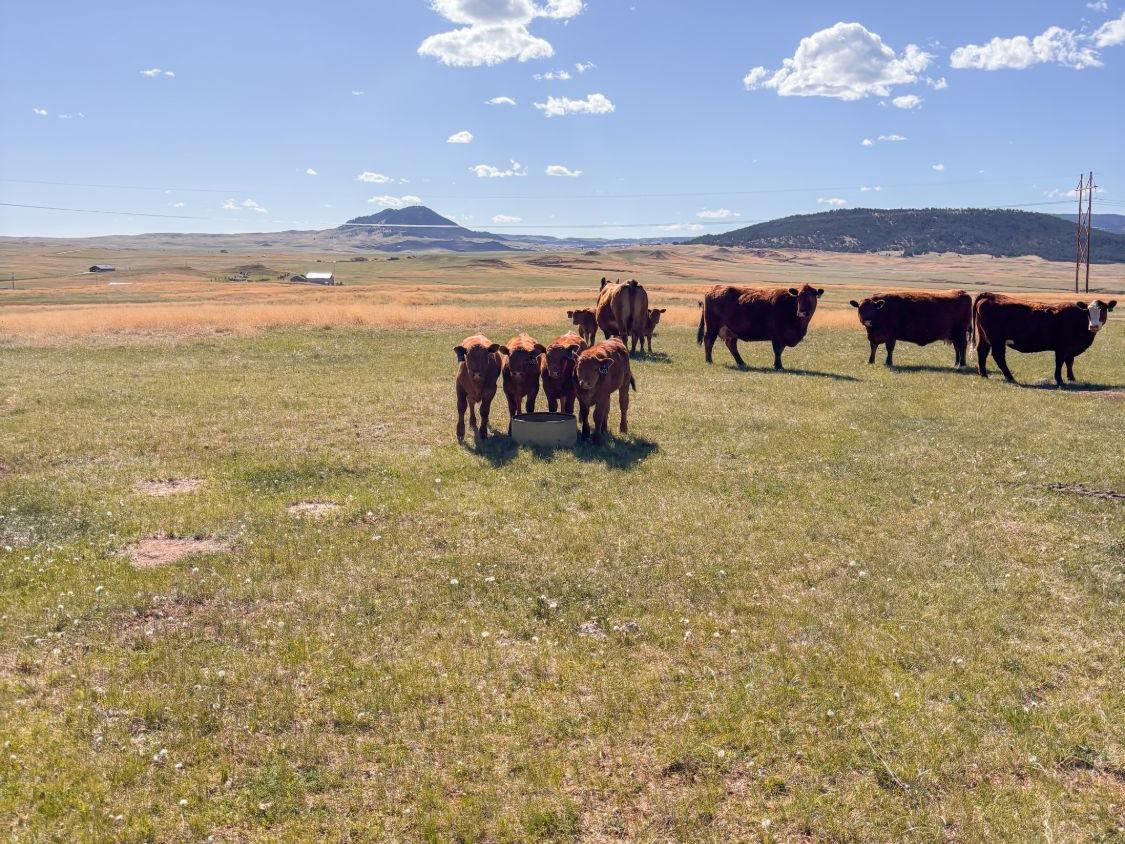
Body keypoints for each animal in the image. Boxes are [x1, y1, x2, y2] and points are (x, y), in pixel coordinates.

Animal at [973, 292, 1116, 386]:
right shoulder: (1061, 348)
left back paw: (984, 374)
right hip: (997, 340)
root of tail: (990, 295)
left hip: (985, 338)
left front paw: (1071, 378)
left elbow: (1070, 362)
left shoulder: (1070, 348)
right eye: (1088, 312)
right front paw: (1059, 380)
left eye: (1103, 311)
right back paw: (1010, 377)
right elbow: (1059, 363)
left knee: (982, 351)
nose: (1094, 326)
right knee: (998, 356)